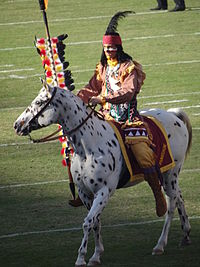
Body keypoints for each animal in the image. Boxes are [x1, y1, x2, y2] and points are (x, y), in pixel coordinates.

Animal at [14, 82, 192, 267]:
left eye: (40, 102)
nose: (17, 125)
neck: (89, 147)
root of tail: (173, 115)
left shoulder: (104, 191)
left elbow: (88, 222)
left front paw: (81, 258)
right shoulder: (85, 193)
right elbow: (95, 222)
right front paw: (96, 255)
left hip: (170, 175)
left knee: (172, 204)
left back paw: (163, 243)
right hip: (167, 177)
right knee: (178, 197)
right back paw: (182, 236)